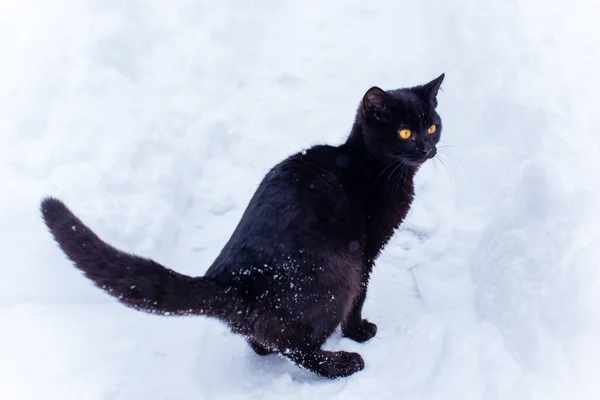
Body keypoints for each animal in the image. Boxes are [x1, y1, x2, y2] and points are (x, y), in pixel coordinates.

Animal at [42, 74, 442, 378]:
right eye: (405, 133)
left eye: (432, 126)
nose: (427, 148)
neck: (372, 165)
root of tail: (231, 285)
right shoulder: (367, 252)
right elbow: (360, 297)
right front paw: (358, 332)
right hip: (339, 271)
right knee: (297, 347)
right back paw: (343, 363)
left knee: (265, 339)